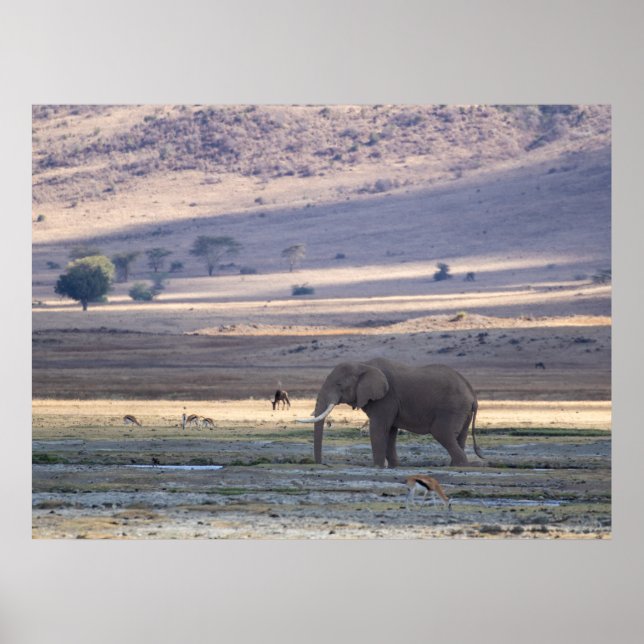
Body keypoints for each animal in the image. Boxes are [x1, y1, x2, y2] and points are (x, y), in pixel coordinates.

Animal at [297, 357, 483, 467]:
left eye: (339, 385)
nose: (321, 464)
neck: (364, 365)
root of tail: (472, 393)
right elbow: (391, 432)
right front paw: (394, 466)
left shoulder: (386, 398)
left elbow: (379, 429)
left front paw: (378, 467)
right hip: (462, 410)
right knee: (459, 436)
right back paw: (455, 466)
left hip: (452, 407)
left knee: (442, 433)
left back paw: (460, 465)